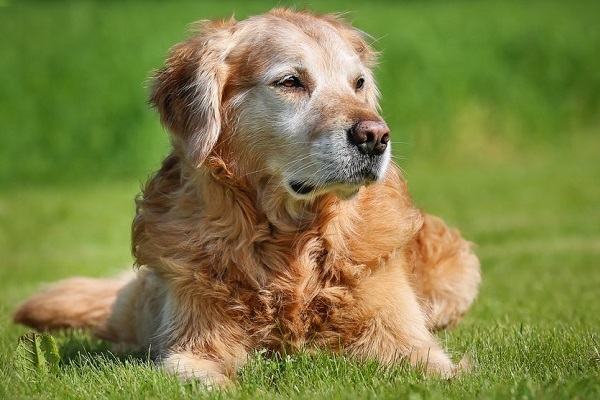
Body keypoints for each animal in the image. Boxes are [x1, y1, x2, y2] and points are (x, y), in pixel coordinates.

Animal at [12, 8, 482, 384]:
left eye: (358, 83)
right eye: (291, 82)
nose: (375, 137)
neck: (288, 241)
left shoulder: (403, 335)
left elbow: (440, 368)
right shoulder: (191, 342)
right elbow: (198, 373)